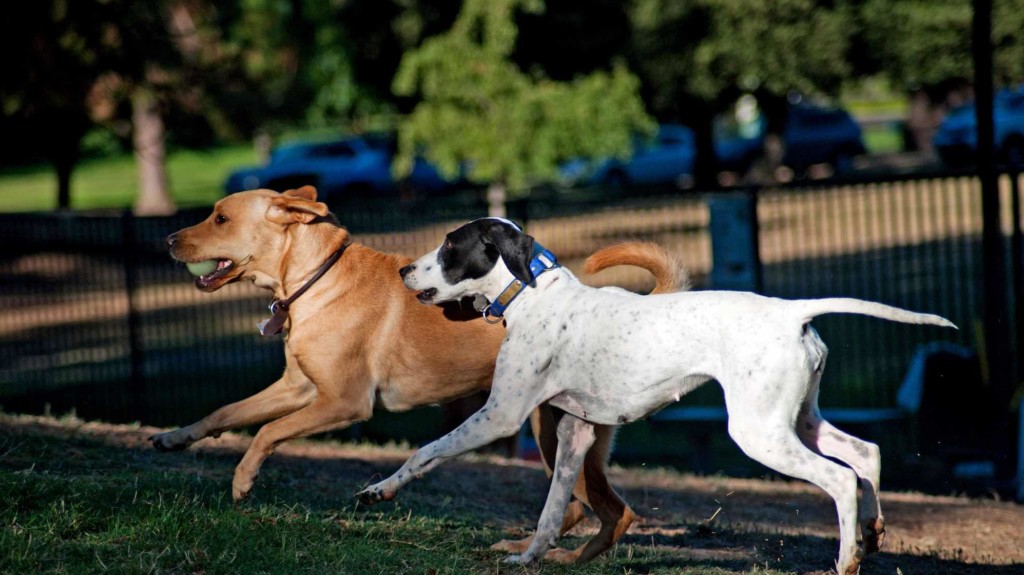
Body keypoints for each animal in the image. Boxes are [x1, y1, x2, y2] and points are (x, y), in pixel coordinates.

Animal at [148, 187, 684, 560]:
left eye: (220, 217)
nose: (168, 239)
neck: (318, 278)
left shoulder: (343, 402)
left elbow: (266, 432)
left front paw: (243, 481)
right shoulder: (297, 387)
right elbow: (225, 412)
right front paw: (175, 438)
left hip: (549, 430)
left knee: (608, 510)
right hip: (556, 430)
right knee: (592, 509)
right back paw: (535, 552)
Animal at [358, 216, 950, 568]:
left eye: (449, 246)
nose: (405, 270)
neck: (533, 295)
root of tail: (791, 313)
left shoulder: (499, 415)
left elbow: (426, 452)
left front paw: (379, 491)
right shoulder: (574, 435)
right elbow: (551, 512)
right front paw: (528, 558)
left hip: (759, 434)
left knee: (841, 479)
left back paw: (847, 559)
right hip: (800, 420)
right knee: (866, 454)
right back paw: (873, 532)